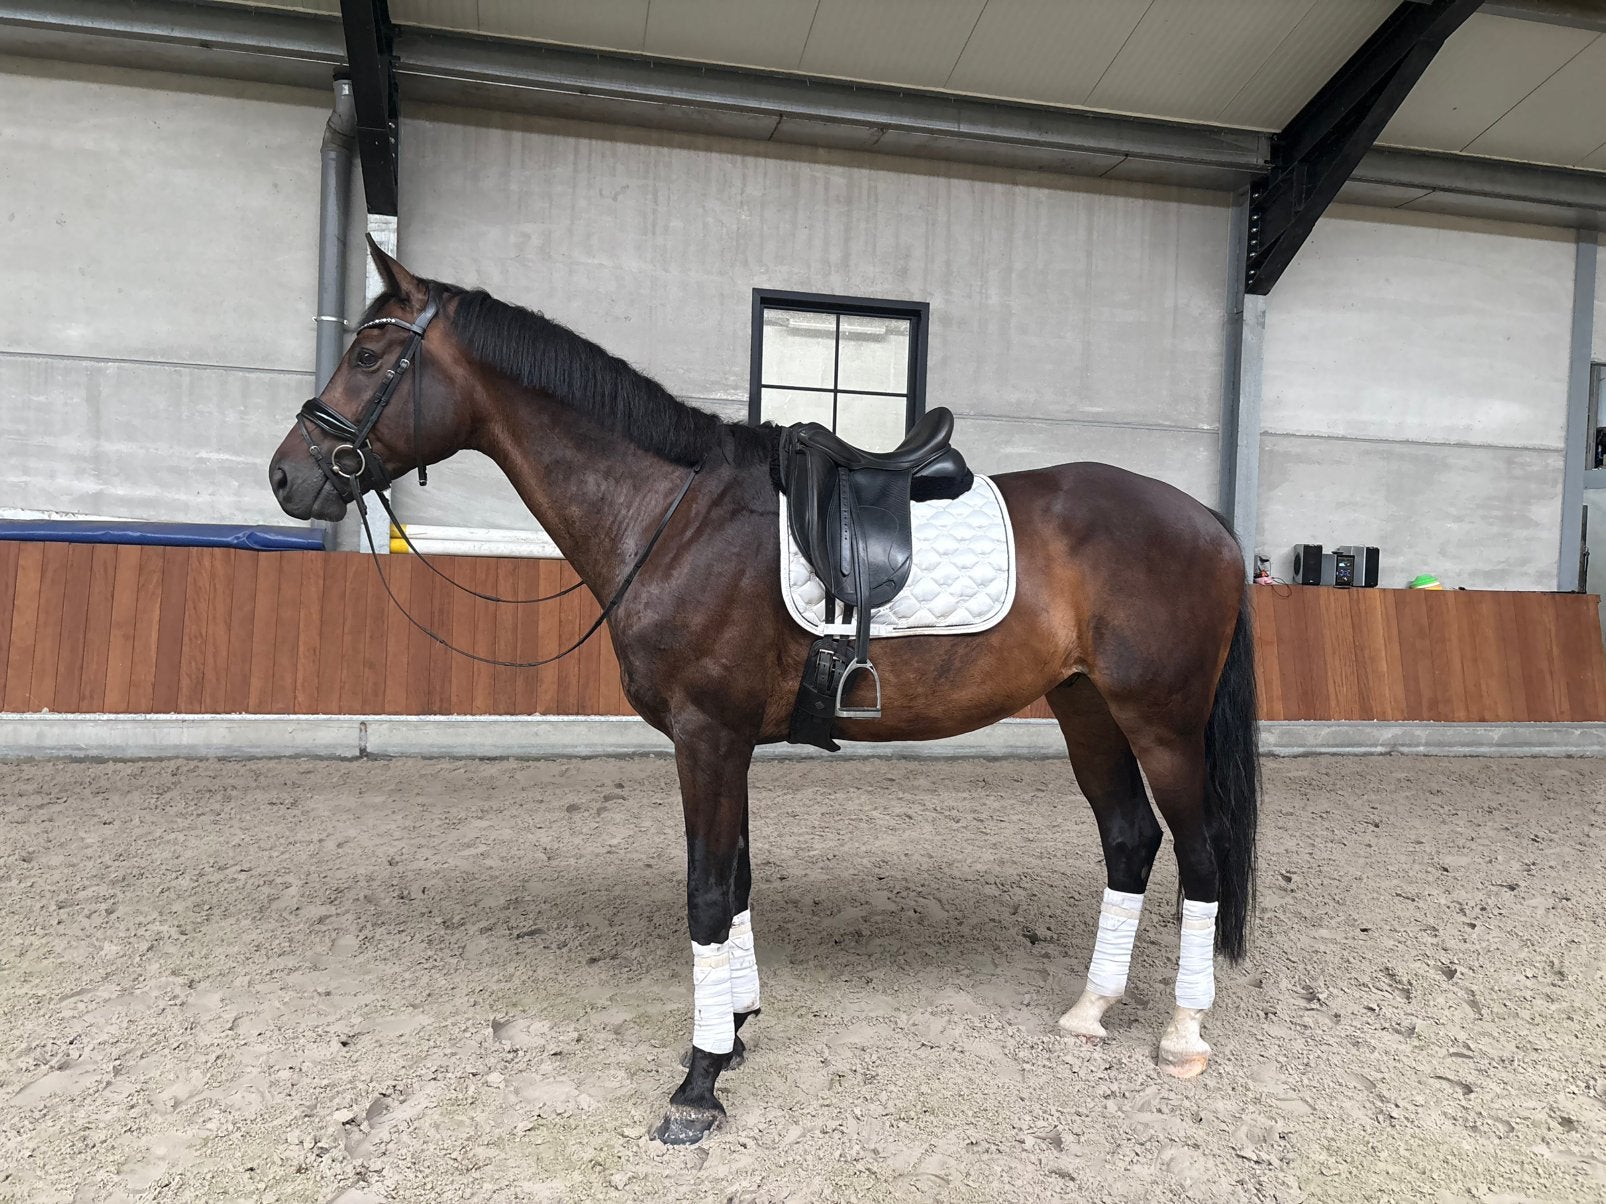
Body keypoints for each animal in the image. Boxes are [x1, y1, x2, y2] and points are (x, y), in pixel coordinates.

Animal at [268, 239, 1260, 1145]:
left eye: (369, 357)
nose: (288, 474)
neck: (675, 515)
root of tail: (1209, 522)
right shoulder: (727, 740)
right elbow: (737, 881)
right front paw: (735, 1030)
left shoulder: (707, 736)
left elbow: (708, 893)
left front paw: (699, 1083)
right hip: (1086, 709)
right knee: (1130, 841)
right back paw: (1091, 1010)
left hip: (1163, 724)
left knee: (1199, 853)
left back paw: (1182, 1032)